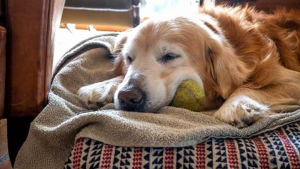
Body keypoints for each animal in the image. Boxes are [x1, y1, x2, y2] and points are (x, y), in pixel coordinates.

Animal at [78, 5, 300, 127]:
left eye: (170, 56)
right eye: (129, 58)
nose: (127, 97)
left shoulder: (293, 79)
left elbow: (246, 87)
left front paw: (235, 106)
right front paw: (101, 86)